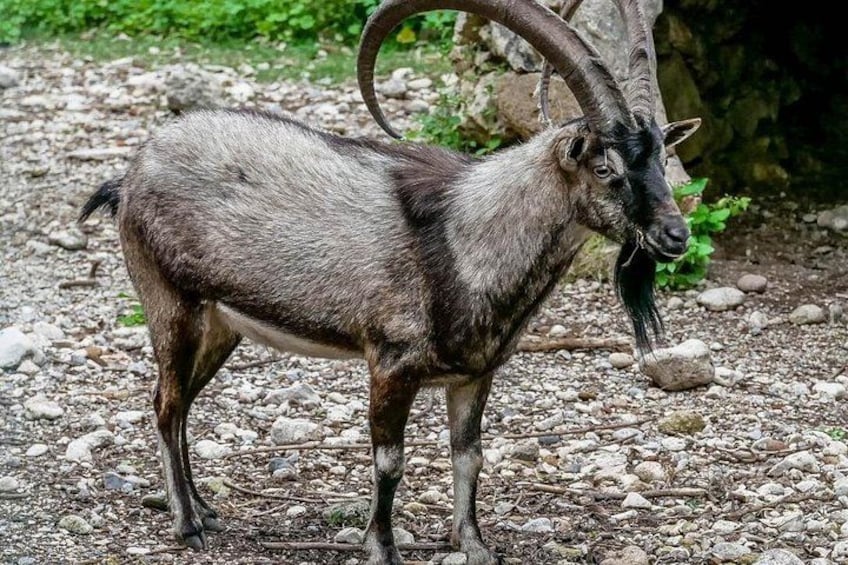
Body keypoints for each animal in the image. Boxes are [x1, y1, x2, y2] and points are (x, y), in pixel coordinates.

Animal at [80, 0, 700, 563]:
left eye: (659, 160)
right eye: (605, 167)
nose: (675, 235)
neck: (464, 238)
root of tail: (129, 177)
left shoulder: (474, 374)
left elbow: (469, 456)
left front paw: (473, 545)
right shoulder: (390, 363)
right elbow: (389, 461)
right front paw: (381, 547)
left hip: (220, 324)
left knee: (183, 402)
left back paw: (205, 509)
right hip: (170, 303)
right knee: (166, 403)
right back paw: (187, 524)